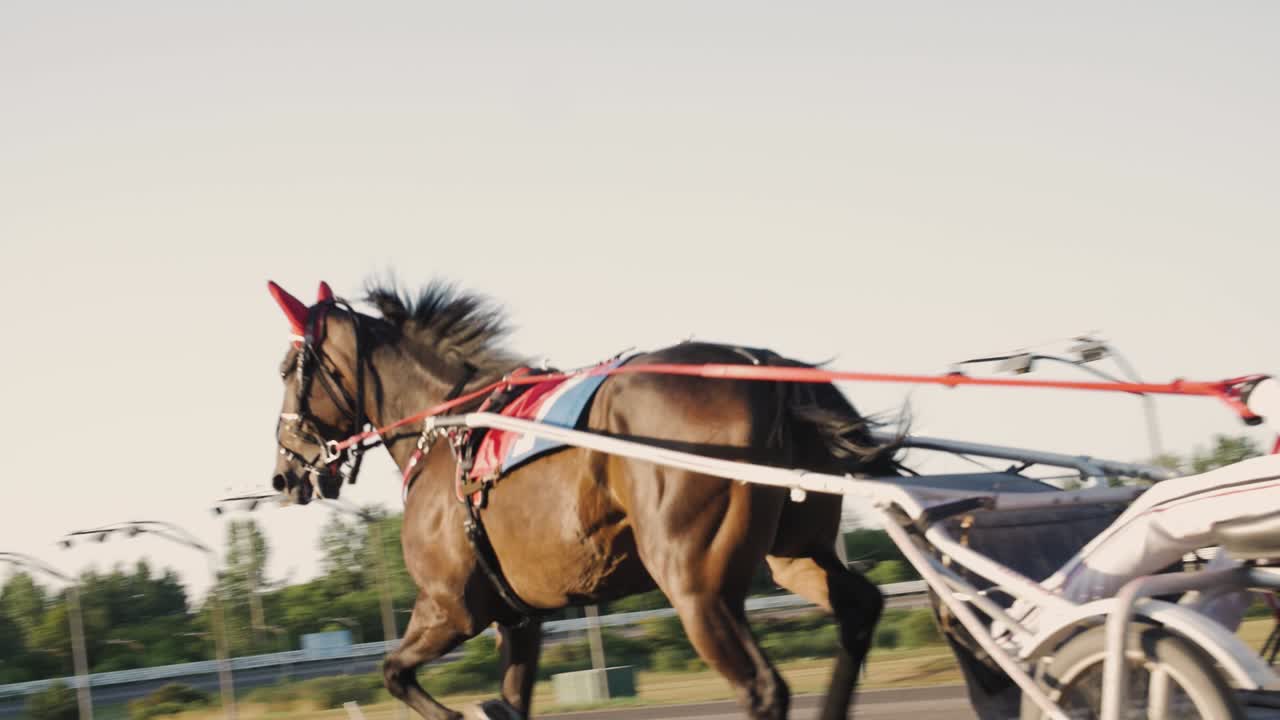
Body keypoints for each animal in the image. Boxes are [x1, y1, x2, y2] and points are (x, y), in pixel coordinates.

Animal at [265, 279, 899, 720]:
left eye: (287, 369)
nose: (283, 473)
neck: (448, 426)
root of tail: (764, 369)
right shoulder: (517, 619)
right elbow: (507, 698)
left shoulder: (450, 607)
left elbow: (393, 672)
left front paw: (466, 710)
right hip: (793, 553)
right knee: (859, 608)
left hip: (696, 585)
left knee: (763, 688)